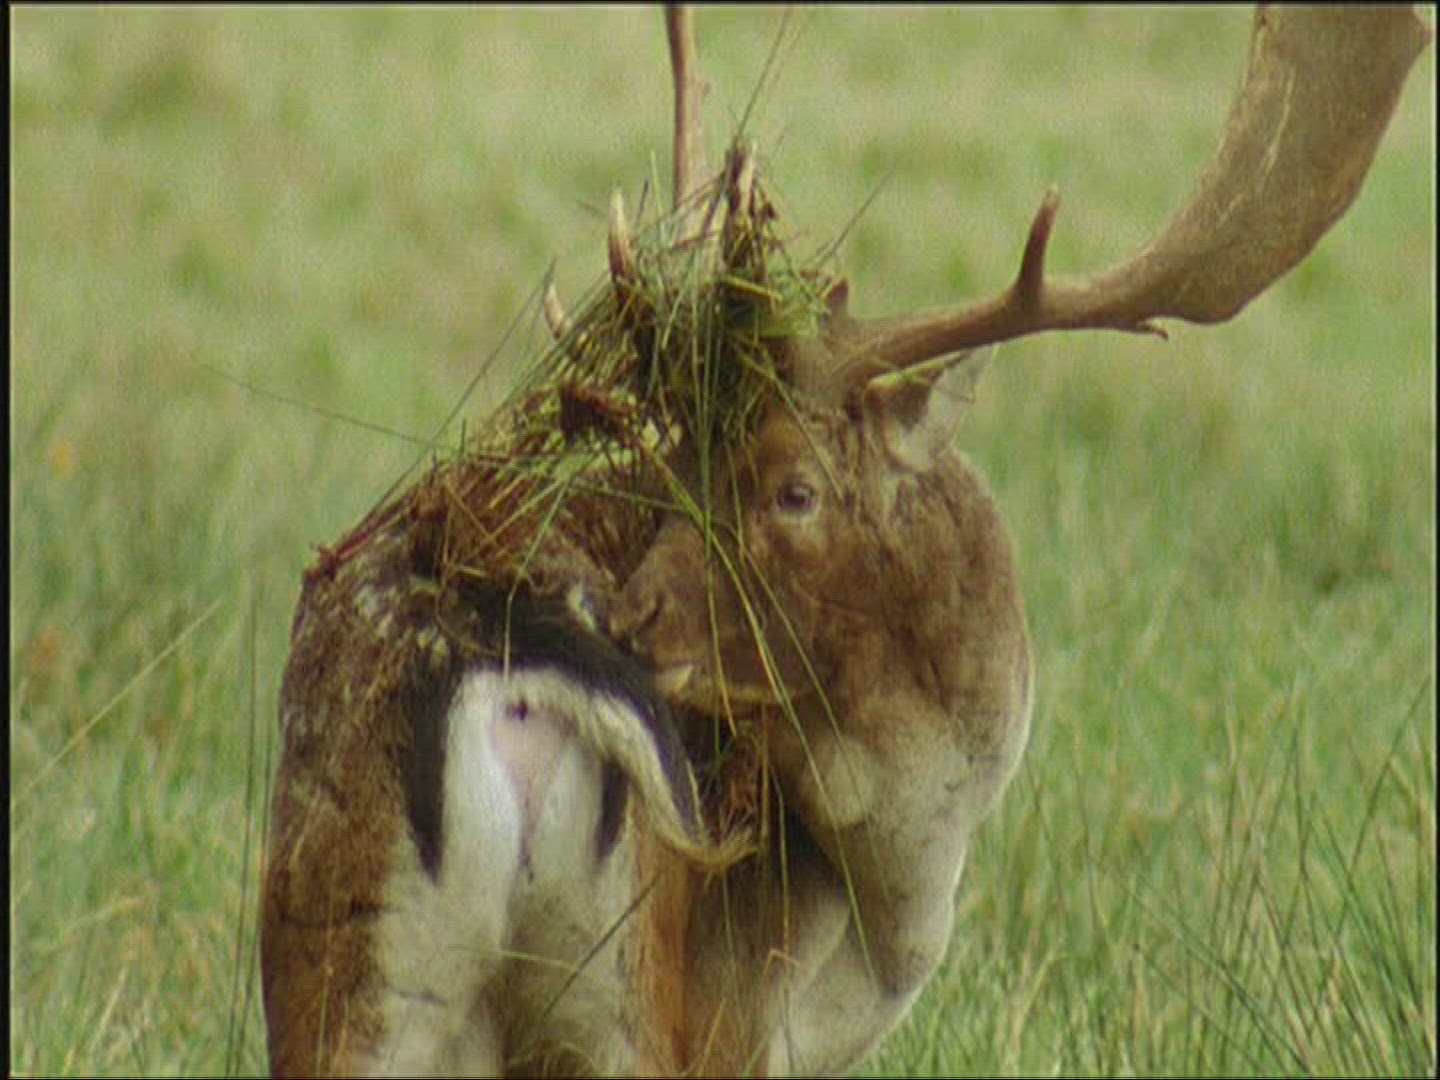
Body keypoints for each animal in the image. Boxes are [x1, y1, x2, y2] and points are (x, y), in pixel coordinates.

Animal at [260, 6, 1429, 1077]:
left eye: (789, 491)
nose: (634, 615)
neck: (899, 881)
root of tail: (508, 655)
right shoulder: (747, 1018)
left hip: (348, 958)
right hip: (634, 996)